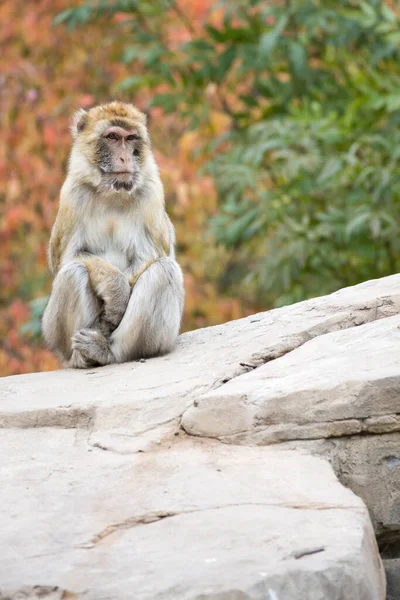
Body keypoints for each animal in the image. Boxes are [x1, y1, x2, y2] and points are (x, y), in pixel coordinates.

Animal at [40, 101, 184, 368]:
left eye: (131, 138)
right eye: (113, 137)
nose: (125, 157)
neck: (112, 193)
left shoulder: (151, 193)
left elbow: (148, 256)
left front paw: (115, 306)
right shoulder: (72, 195)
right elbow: (67, 258)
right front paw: (116, 294)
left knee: (164, 271)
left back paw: (107, 352)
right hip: (55, 337)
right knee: (73, 273)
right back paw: (82, 358)